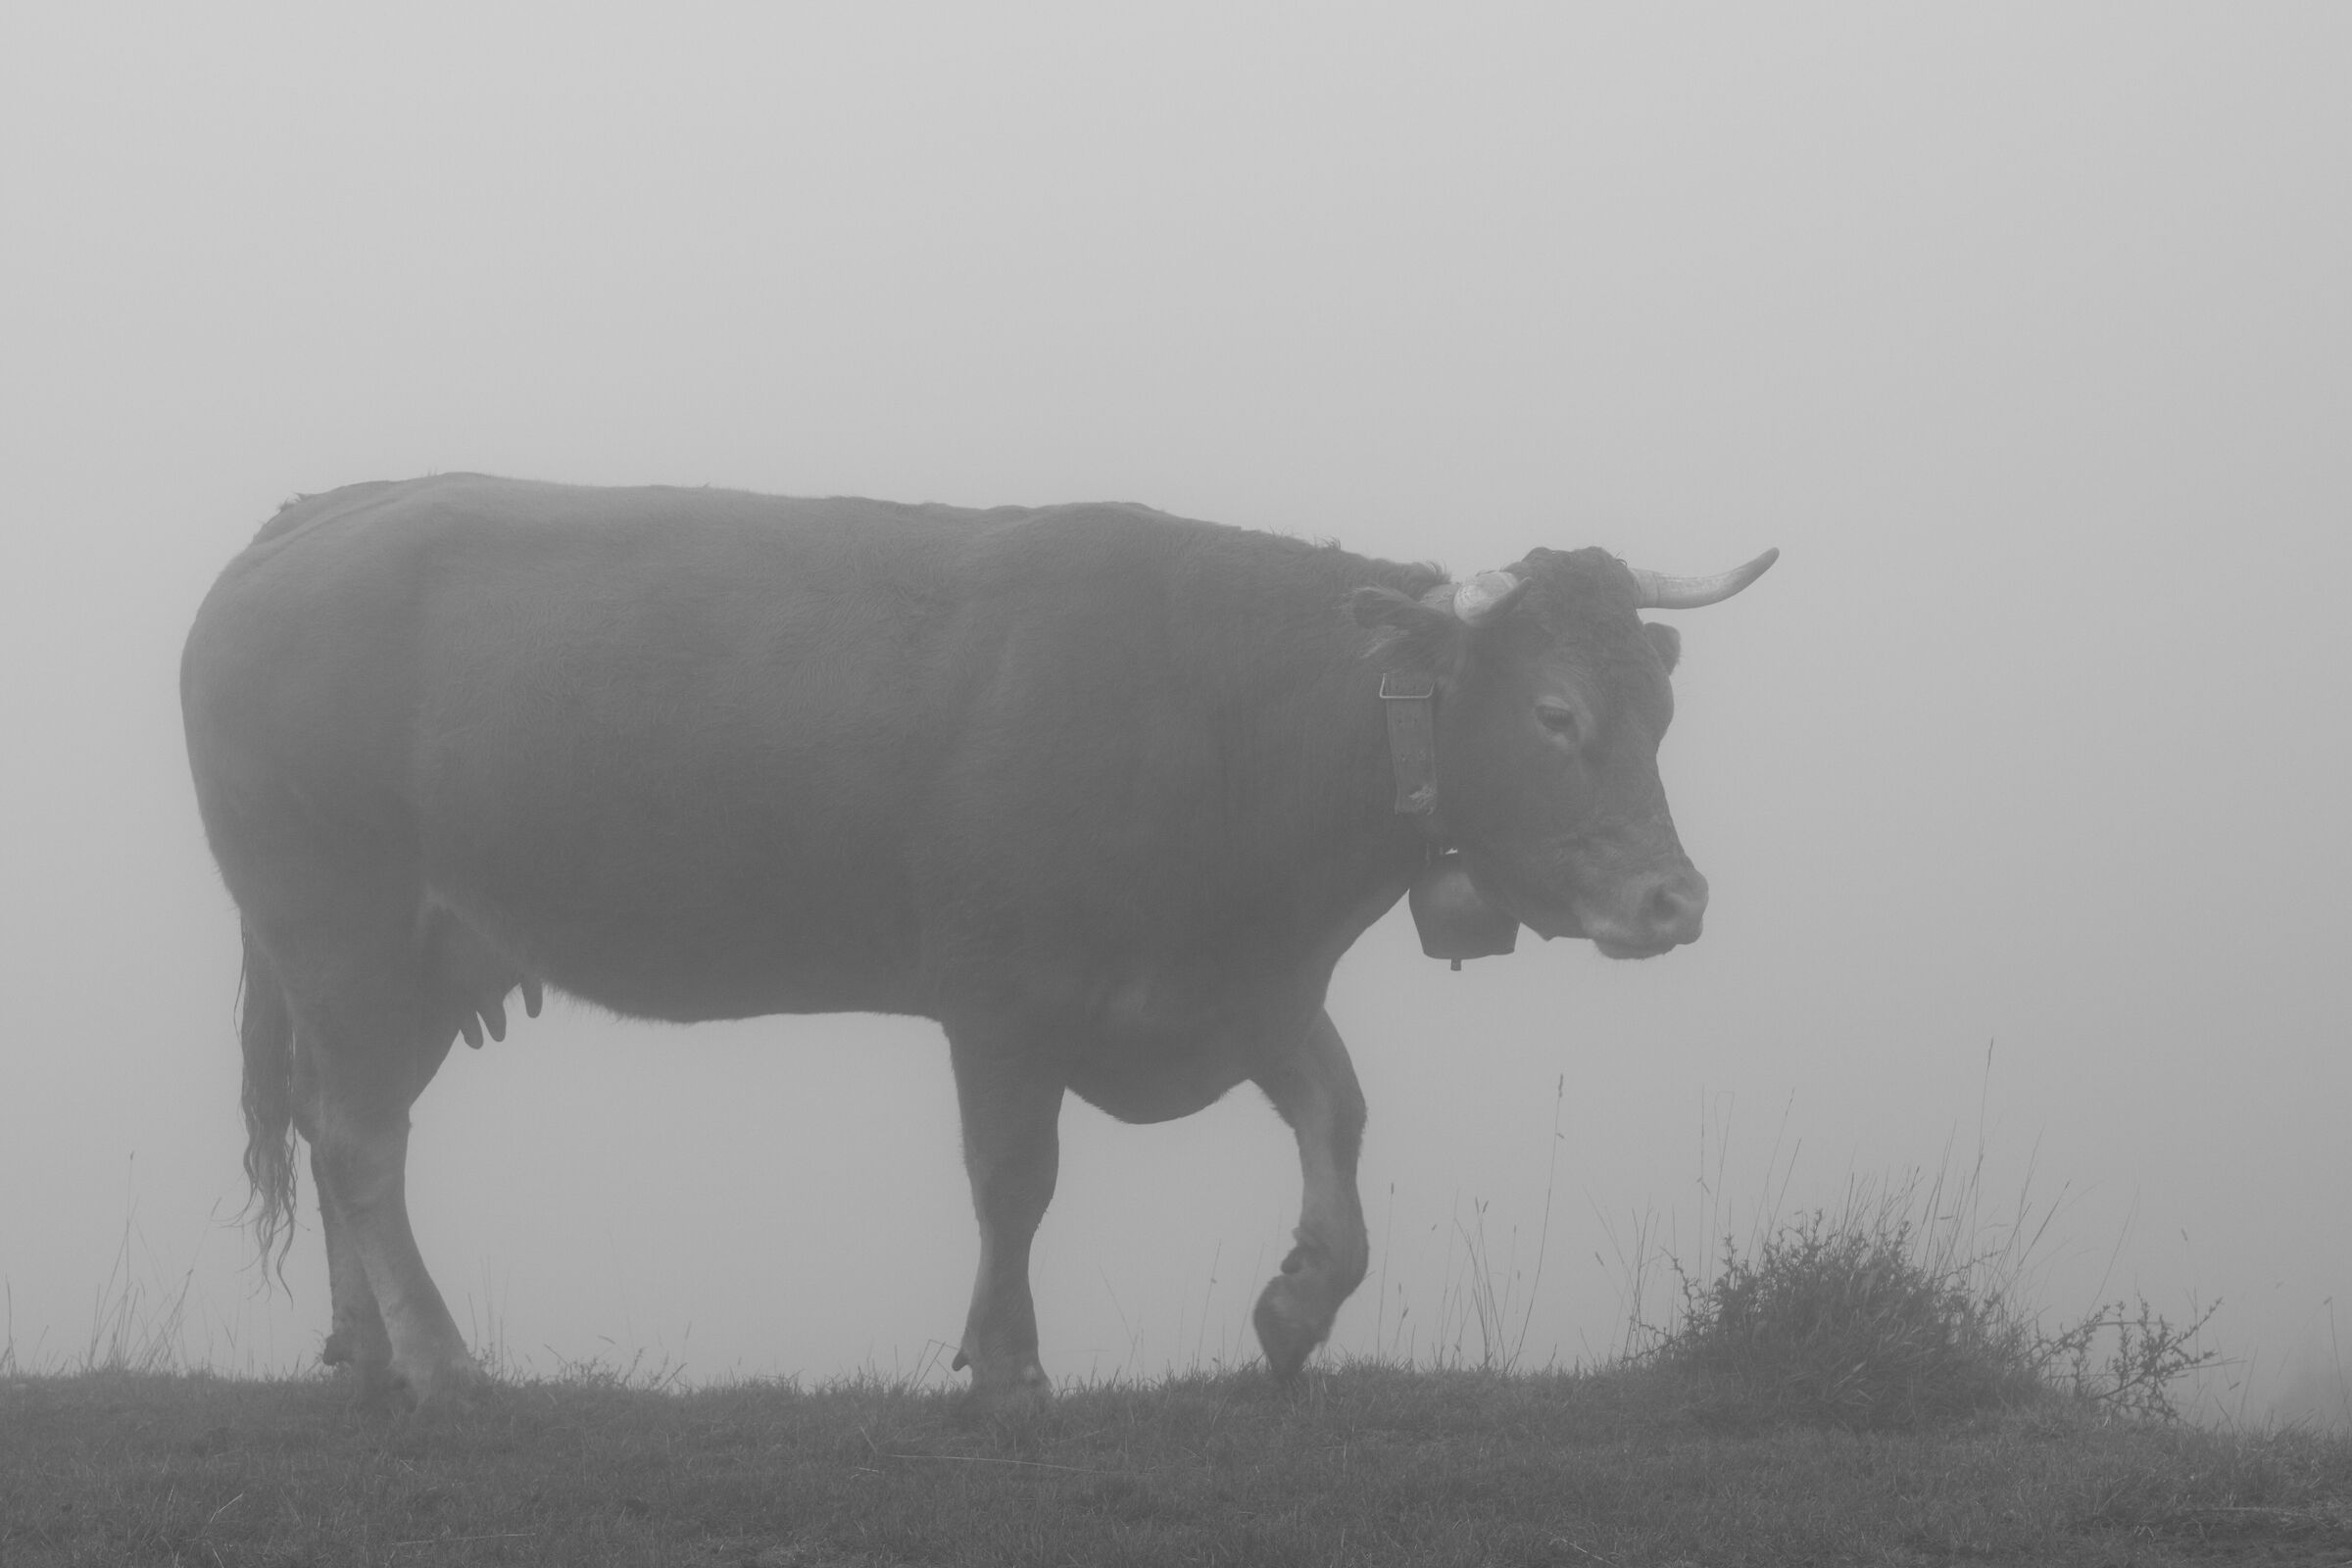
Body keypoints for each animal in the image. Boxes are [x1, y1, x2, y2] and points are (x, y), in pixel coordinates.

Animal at [180, 474, 1774, 1410]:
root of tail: (319, 516)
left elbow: (1339, 1112)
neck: (1213, 699)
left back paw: (364, 1347)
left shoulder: (1238, 979)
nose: (1674, 902)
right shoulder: (1008, 996)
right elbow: (1017, 1179)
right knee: (361, 1143)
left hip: (401, 964)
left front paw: (1298, 1302)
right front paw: (1006, 1363)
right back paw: (441, 1357)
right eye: (1558, 714)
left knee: (333, 1125)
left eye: (1660, 708)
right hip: (342, 927)